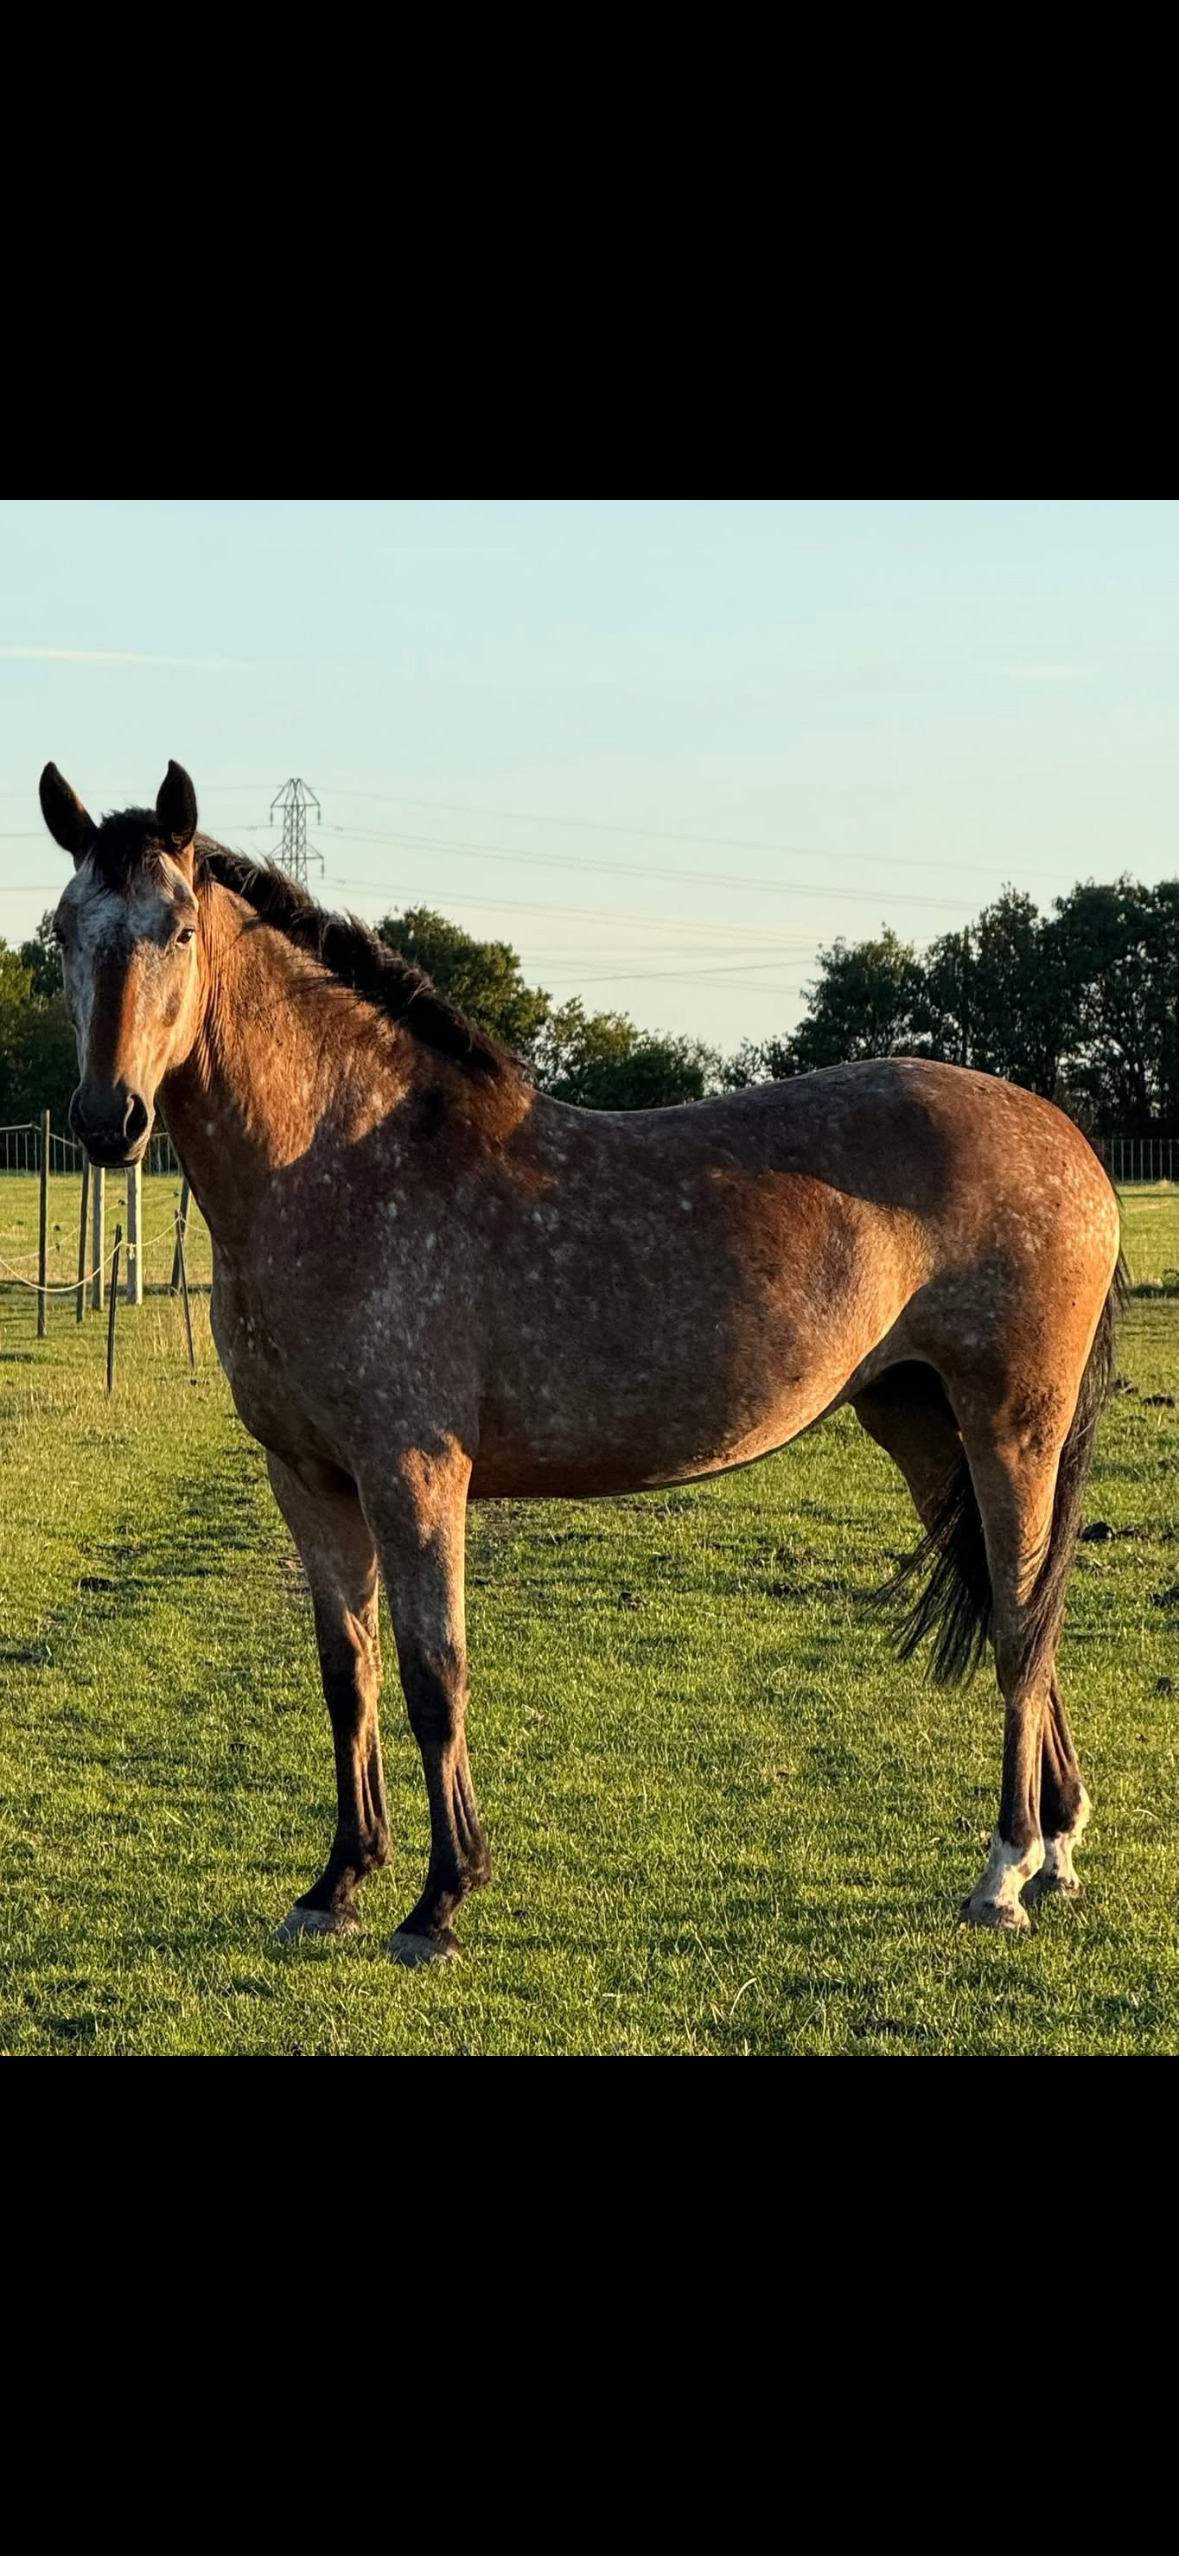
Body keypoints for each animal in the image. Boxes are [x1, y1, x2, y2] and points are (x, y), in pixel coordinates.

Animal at [39, 759, 1122, 1961]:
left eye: (179, 929)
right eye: (62, 932)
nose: (108, 1119)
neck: (341, 1163)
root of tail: (1065, 1141)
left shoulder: (412, 1470)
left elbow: (433, 1674)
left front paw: (439, 1901)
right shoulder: (307, 1478)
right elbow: (346, 1675)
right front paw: (335, 1886)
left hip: (1011, 1423)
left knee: (1023, 1622)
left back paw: (1004, 1871)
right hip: (920, 1423)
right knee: (1017, 1612)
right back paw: (1055, 1851)